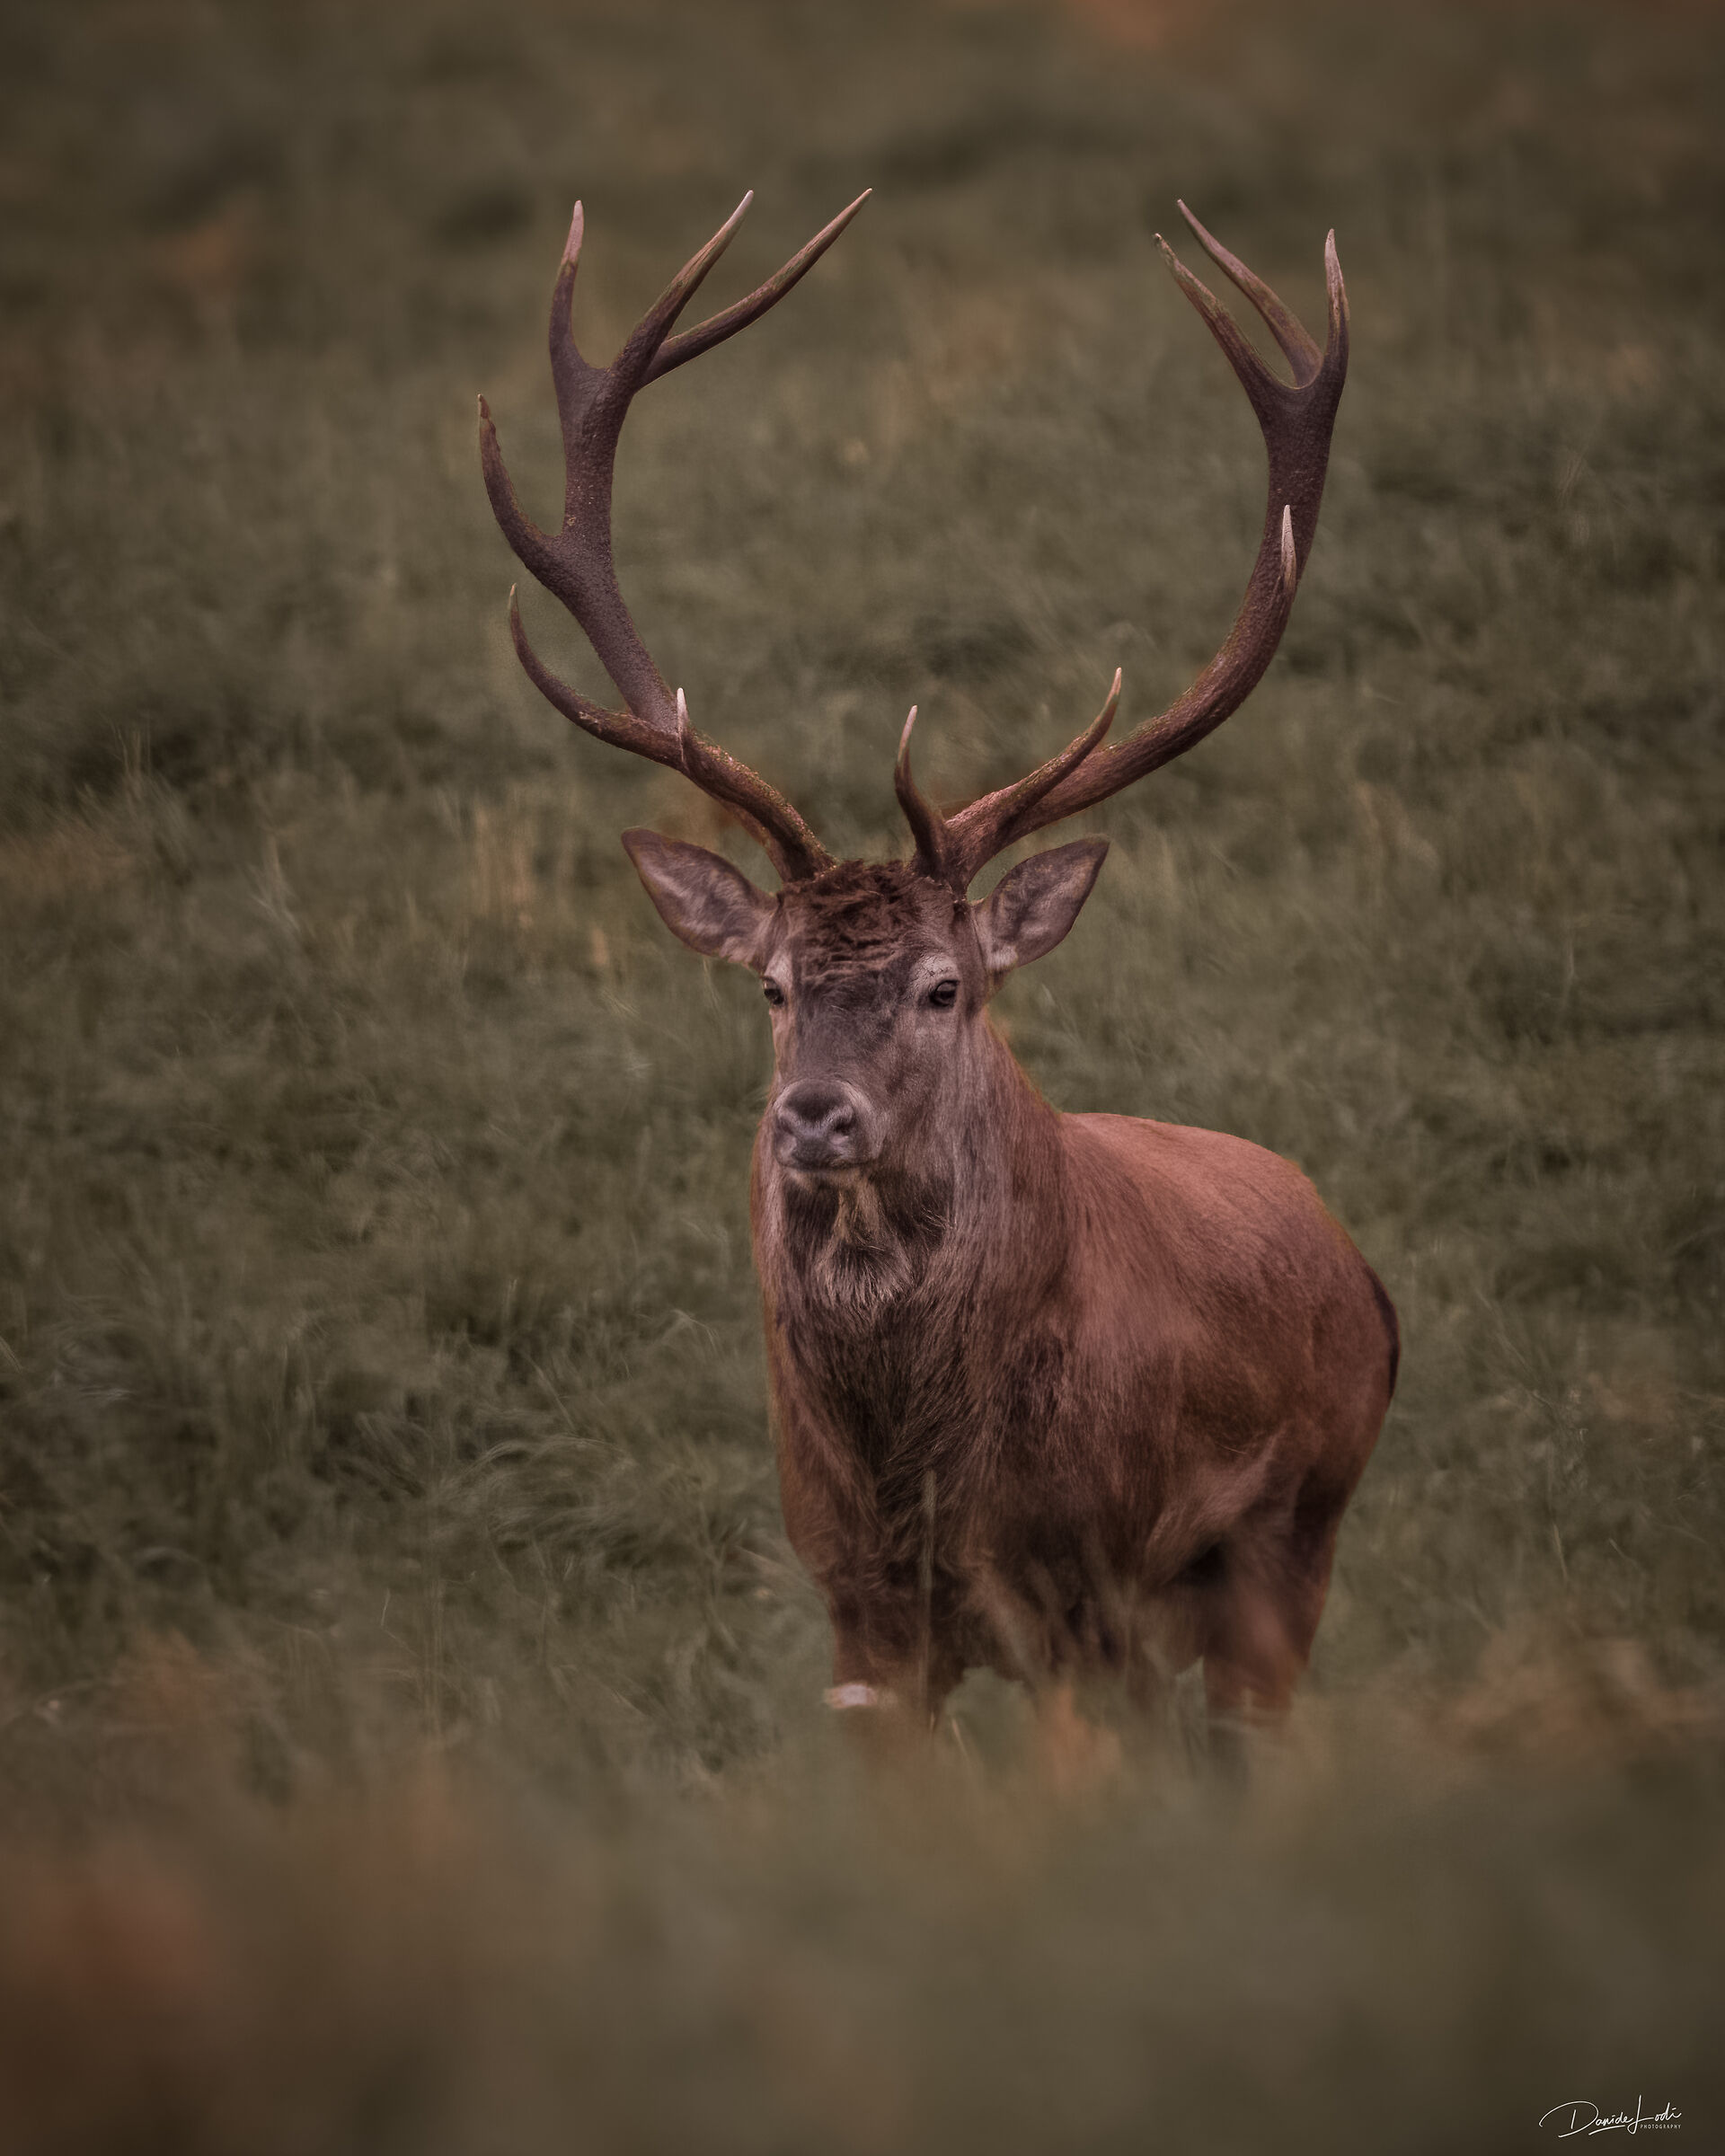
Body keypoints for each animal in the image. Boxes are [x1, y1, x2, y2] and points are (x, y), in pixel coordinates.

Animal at [479, 188, 1397, 1754]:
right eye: (773, 985)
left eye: (943, 986)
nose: (815, 1115)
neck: (922, 1478)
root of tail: (1365, 1274)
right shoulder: (855, 1606)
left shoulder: (1087, 1587)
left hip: (1295, 1536)